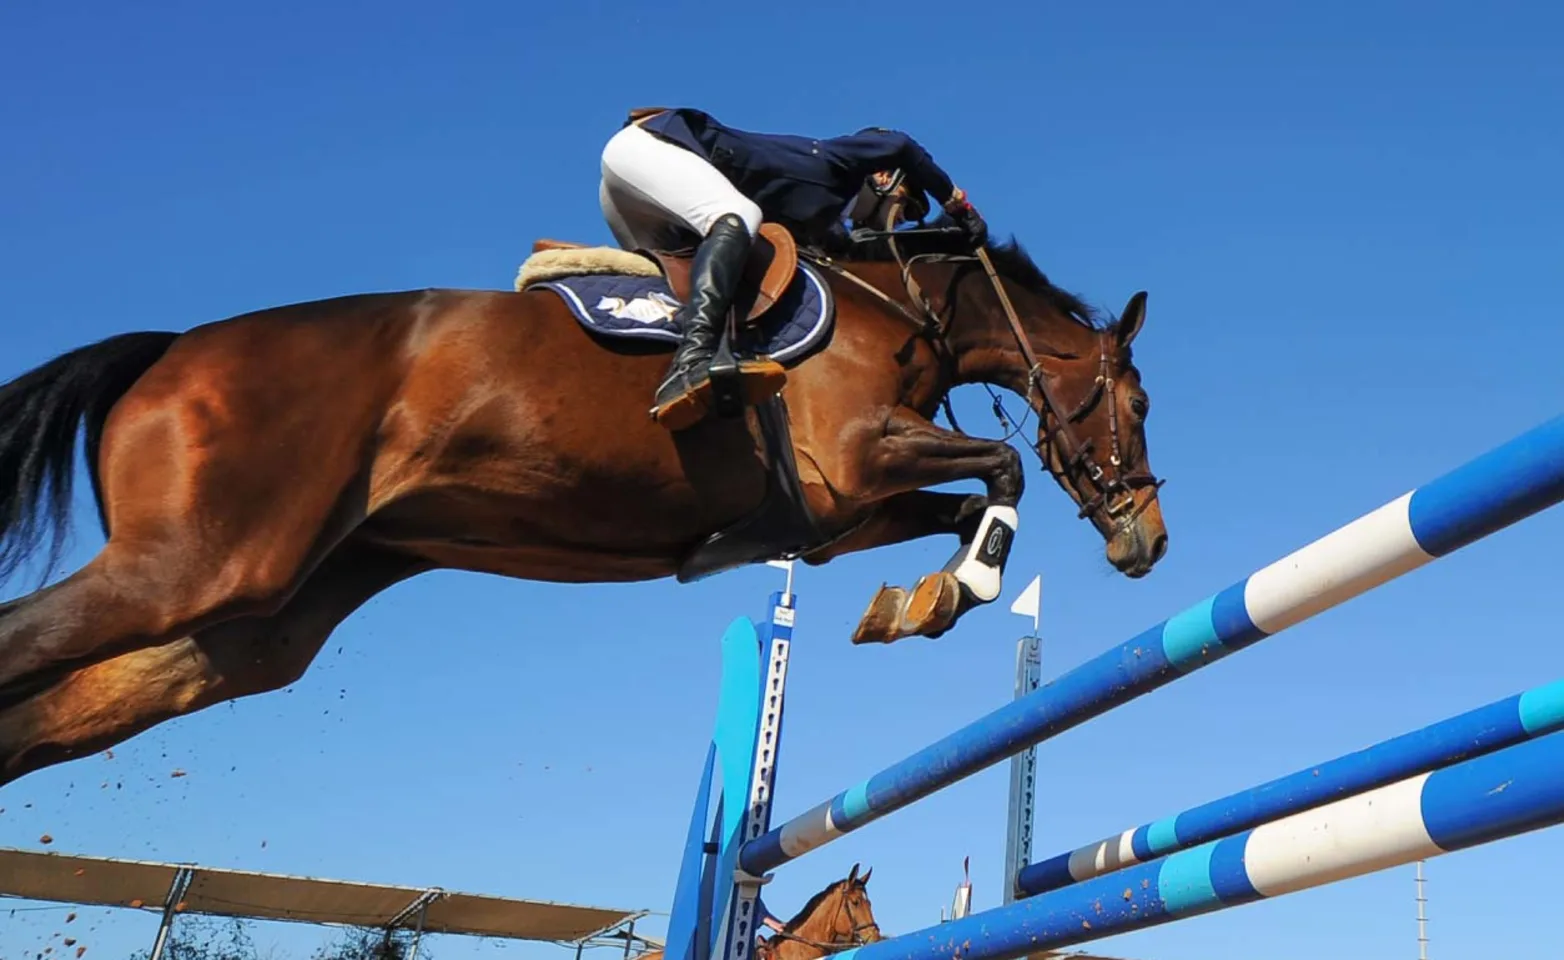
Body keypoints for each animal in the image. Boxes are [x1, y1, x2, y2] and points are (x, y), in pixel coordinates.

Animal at [0, 220, 1163, 791]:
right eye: (1141, 402)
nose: (1148, 540)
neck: (902, 306)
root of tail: (169, 350)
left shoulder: (837, 514)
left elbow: (961, 503)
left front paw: (920, 600)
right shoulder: (856, 458)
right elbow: (1002, 471)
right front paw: (956, 589)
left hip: (250, 628)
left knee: (40, 718)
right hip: (191, 567)